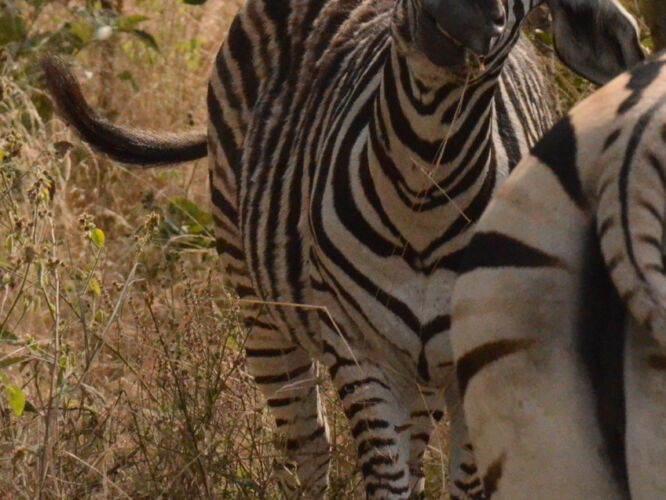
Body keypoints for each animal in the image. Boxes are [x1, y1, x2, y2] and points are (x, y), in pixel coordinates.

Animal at [42, 0, 644, 497]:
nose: (460, 18)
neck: (427, 189)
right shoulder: (359, 350)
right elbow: (384, 478)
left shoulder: (475, 357)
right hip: (260, 305)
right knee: (309, 447)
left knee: (412, 446)